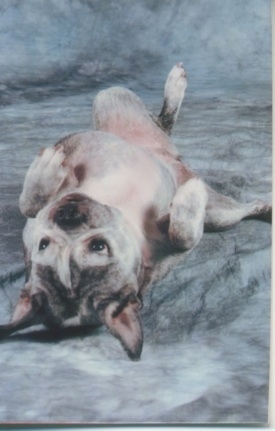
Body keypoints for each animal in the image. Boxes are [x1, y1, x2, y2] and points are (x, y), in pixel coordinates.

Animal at [0, 63, 272, 362]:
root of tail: (172, 156)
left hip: (110, 100)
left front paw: (44, 173)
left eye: (98, 246)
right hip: (218, 216)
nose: (66, 213)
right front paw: (189, 197)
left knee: (161, 122)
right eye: (44, 245)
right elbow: (183, 236)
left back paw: (175, 87)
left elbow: (29, 204)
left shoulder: (66, 188)